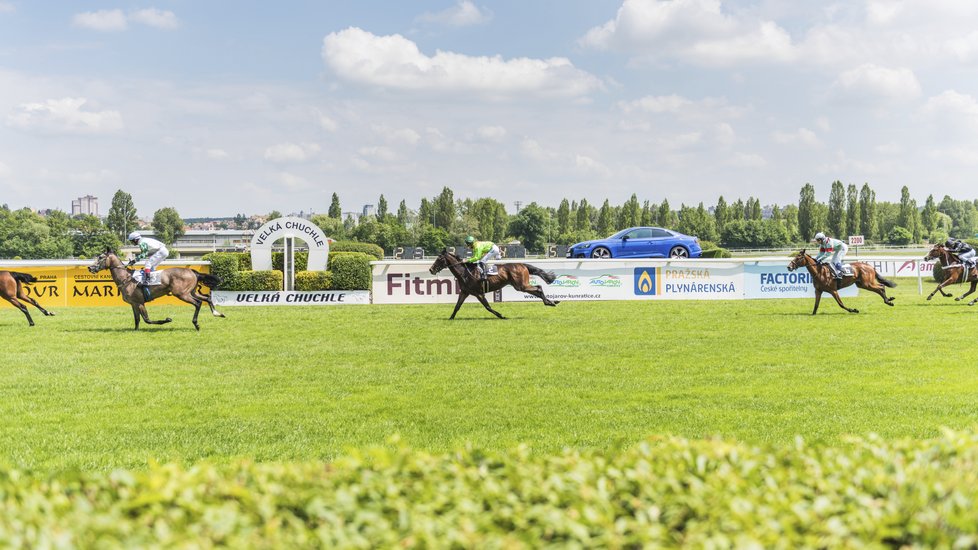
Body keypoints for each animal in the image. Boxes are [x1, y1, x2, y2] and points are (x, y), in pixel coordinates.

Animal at [88, 251, 225, 332]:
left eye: (100, 257)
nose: (90, 267)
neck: (126, 278)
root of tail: (192, 272)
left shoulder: (140, 302)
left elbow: (147, 320)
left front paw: (167, 320)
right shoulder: (133, 304)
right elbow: (137, 319)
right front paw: (135, 330)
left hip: (181, 294)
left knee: (198, 303)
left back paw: (196, 324)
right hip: (191, 292)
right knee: (207, 298)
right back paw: (217, 313)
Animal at [428, 249, 556, 320]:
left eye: (439, 259)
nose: (431, 270)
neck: (465, 272)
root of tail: (522, 264)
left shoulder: (479, 293)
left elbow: (488, 307)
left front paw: (501, 316)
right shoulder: (465, 292)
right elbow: (457, 306)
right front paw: (450, 318)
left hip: (521, 285)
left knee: (538, 288)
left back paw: (550, 302)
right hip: (520, 285)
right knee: (537, 289)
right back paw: (551, 302)